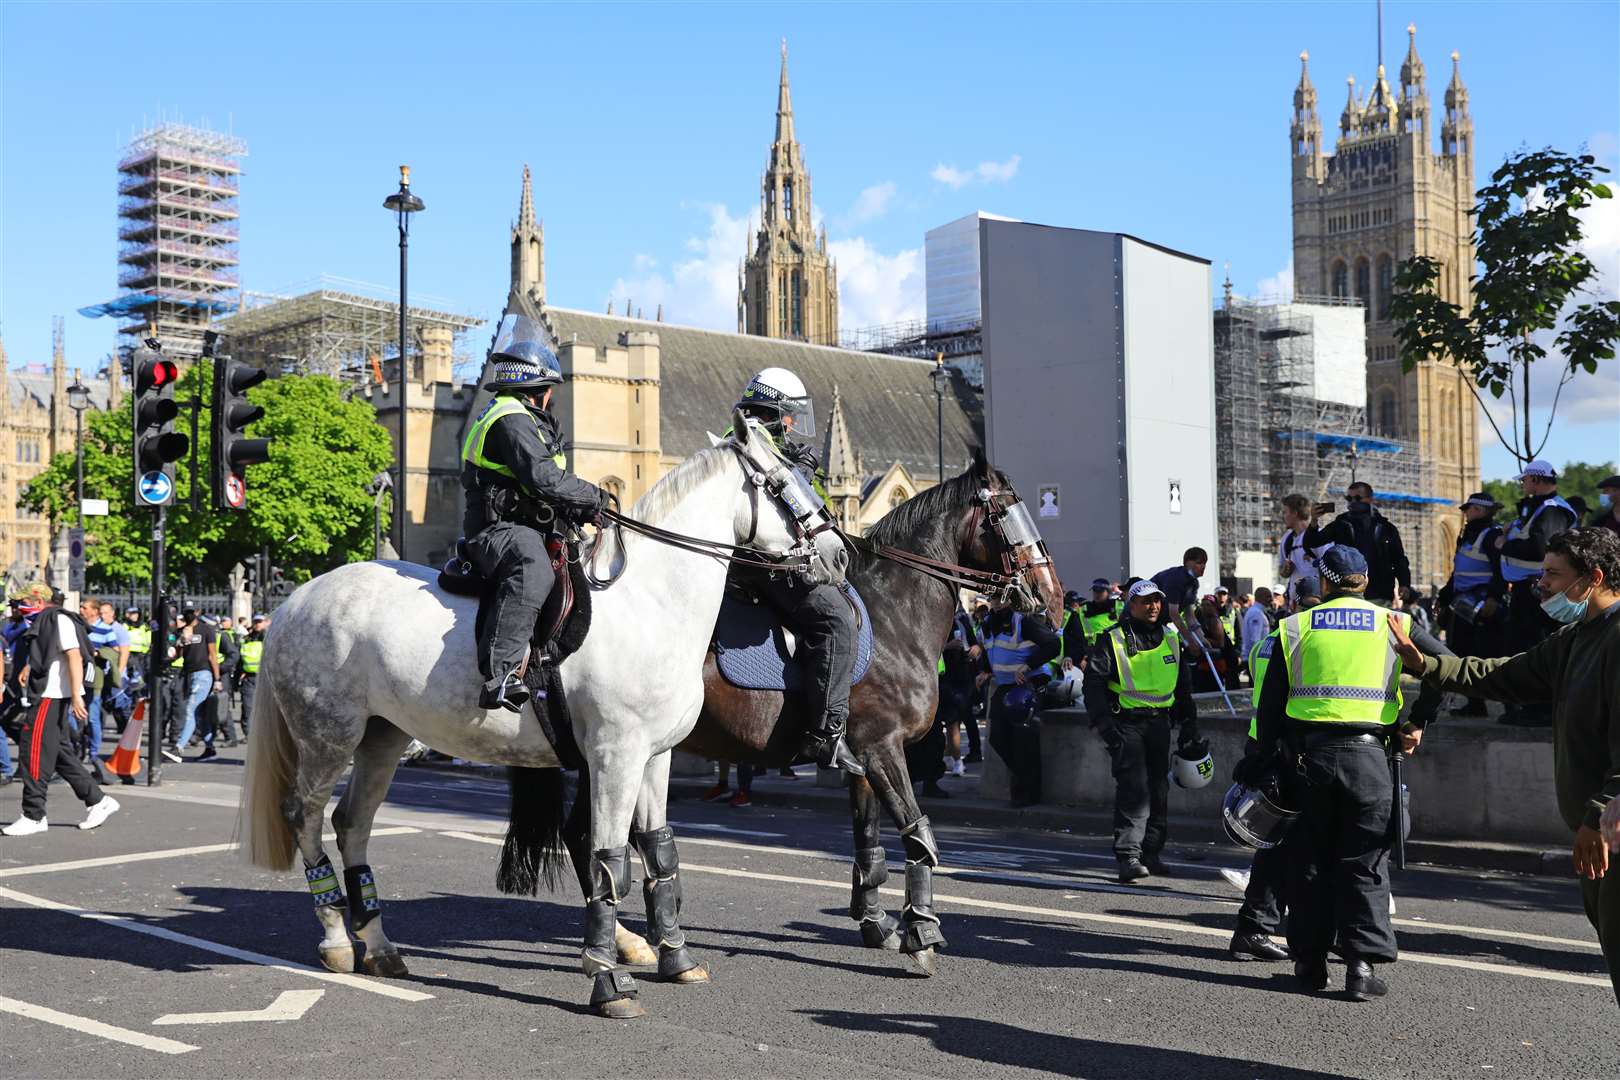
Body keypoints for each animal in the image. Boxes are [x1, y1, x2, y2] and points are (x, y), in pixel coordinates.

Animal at [243, 417, 848, 1023]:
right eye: (780, 481)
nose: (838, 555)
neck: (650, 603)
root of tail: (296, 598)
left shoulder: (655, 757)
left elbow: (659, 849)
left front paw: (675, 958)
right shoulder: (614, 755)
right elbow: (608, 859)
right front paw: (607, 980)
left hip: (382, 737)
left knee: (352, 823)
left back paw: (380, 946)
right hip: (327, 735)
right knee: (304, 815)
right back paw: (337, 941)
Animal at [573, 453, 1062, 977]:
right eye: (1008, 512)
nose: (1053, 599)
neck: (892, 614)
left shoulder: (863, 760)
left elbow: (869, 841)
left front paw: (877, 925)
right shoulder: (883, 749)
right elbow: (917, 832)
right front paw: (922, 934)